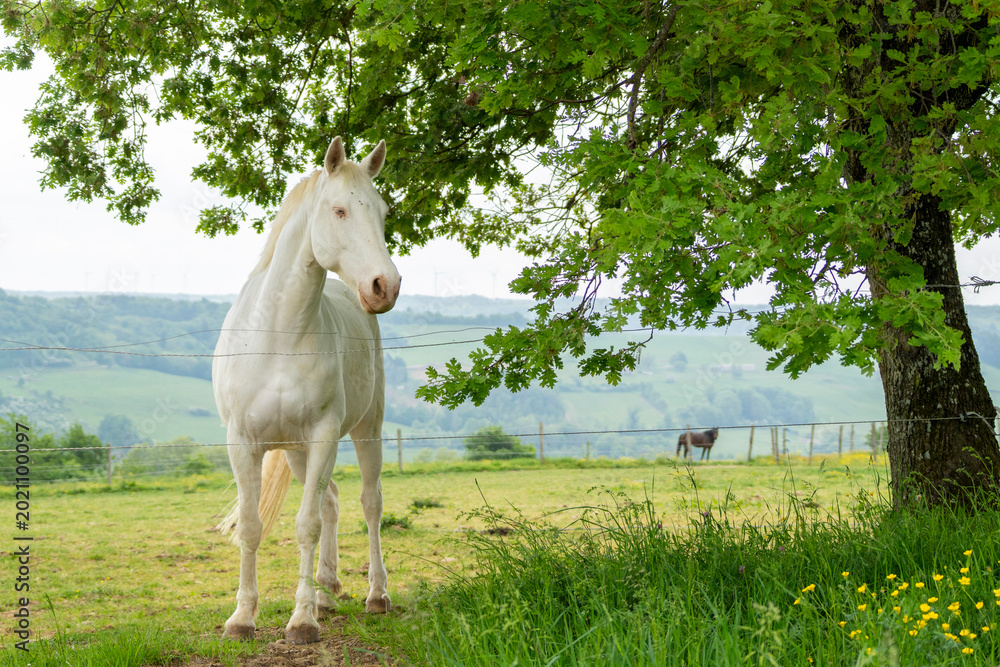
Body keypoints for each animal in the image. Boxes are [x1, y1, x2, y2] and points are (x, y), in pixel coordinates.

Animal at [213, 137, 401, 645]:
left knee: (370, 502)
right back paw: (326, 591)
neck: (279, 334)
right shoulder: (243, 443)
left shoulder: (322, 436)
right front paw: (242, 619)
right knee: (332, 498)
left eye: (383, 212)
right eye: (339, 210)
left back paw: (375, 595)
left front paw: (300, 622)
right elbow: (252, 526)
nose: (385, 286)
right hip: (296, 453)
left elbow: (306, 525)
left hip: (365, 430)